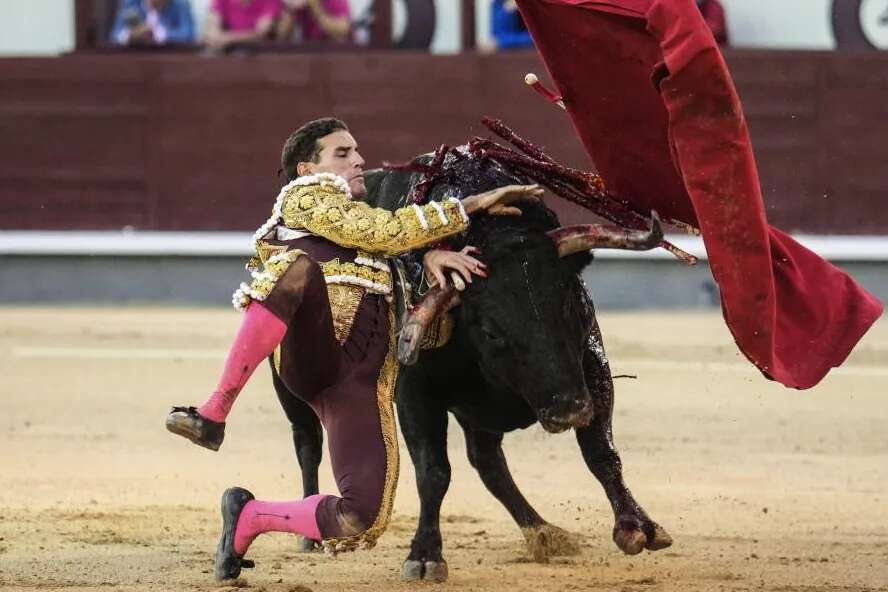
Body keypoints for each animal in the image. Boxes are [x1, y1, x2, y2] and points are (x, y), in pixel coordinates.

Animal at [270, 150, 672, 580]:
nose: (568, 410)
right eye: (491, 331)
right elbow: (433, 472)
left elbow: (599, 450)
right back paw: (310, 532)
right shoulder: (415, 393)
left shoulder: (589, 361)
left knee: (488, 461)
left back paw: (542, 531)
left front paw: (636, 527)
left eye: (566, 302)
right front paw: (424, 556)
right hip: (291, 388)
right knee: (308, 441)